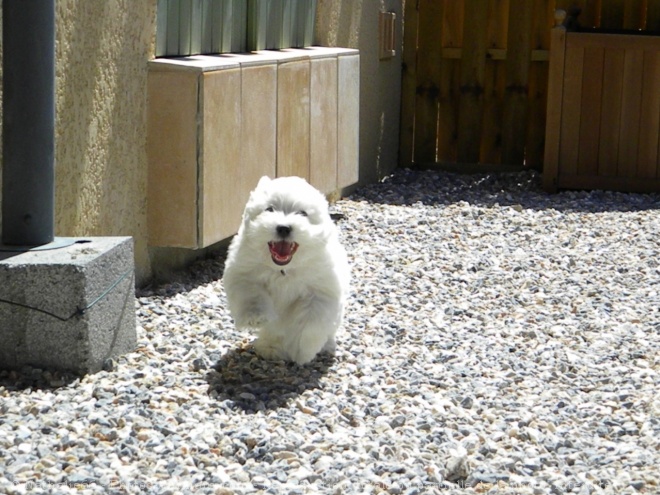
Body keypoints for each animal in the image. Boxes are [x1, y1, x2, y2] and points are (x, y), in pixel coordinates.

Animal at [224, 176, 350, 366]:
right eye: (270, 209)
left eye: (303, 213)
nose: (283, 227)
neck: (283, 269)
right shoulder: (245, 273)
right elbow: (252, 295)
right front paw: (256, 316)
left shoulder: (318, 293)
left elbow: (309, 324)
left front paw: (301, 351)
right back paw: (270, 348)